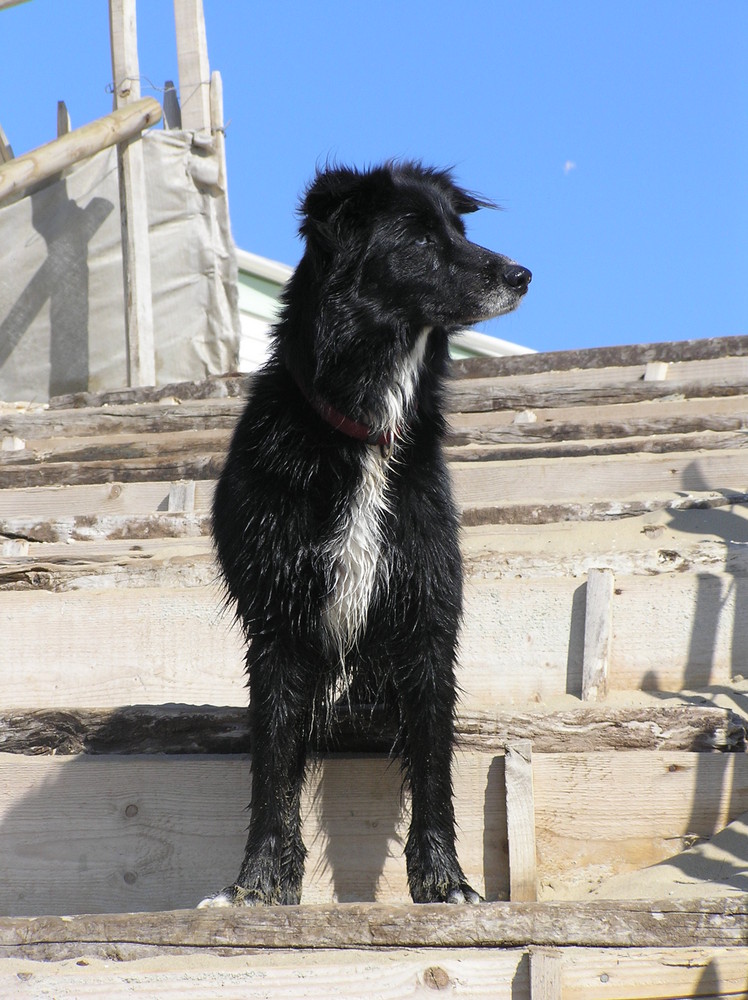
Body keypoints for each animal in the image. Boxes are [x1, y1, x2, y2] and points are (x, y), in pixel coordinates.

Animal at [202, 162, 532, 908]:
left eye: (459, 229)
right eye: (419, 238)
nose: (523, 273)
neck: (365, 434)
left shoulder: (427, 613)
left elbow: (434, 763)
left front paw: (445, 881)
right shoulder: (279, 623)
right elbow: (275, 765)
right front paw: (259, 881)